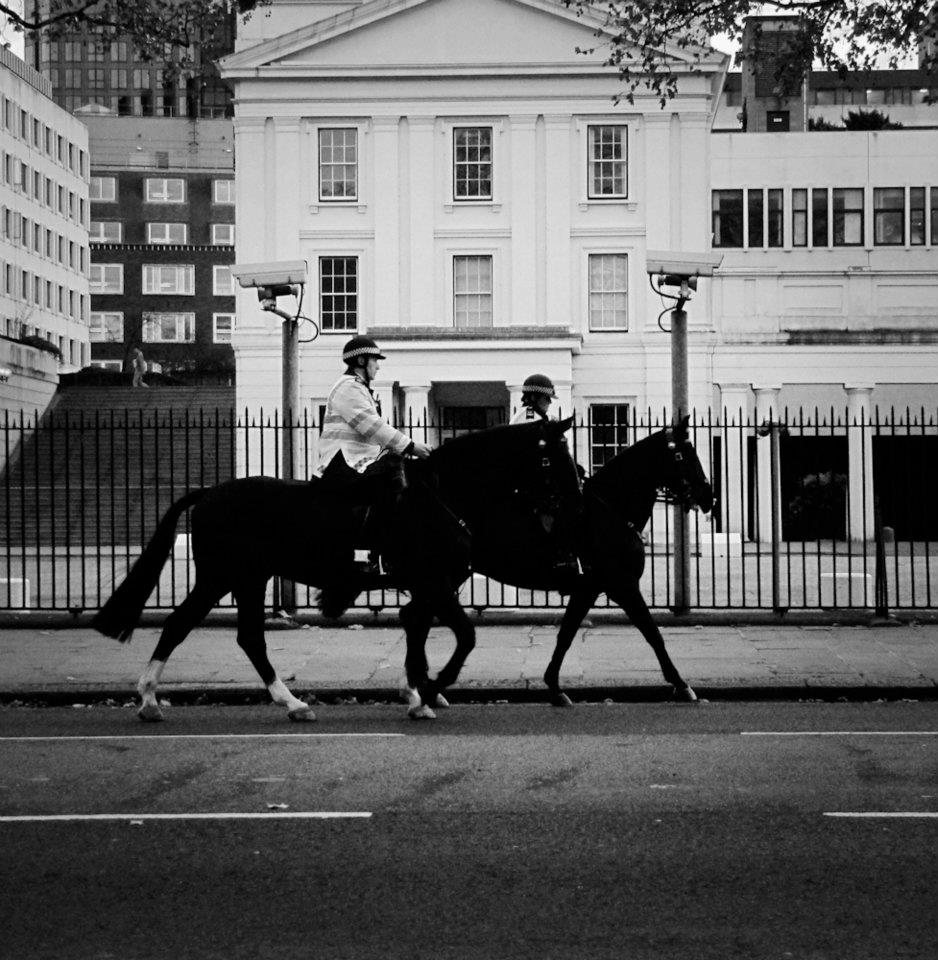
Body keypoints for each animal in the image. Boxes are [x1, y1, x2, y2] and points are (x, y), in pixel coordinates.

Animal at [93, 420, 576, 720]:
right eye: (553, 459)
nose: (574, 500)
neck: (441, 497)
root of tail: (209, 492)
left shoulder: (430, 586)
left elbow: (417, 627)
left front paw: (417, 690)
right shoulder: (434, 583)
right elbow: (463, 636)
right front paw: (430, 688)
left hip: (248, 578)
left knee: (245, 636)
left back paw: (288, 703)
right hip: (224, 576)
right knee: (183, 624)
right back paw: (151, 698)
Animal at [398, 416, 712, 716]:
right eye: (686, 454)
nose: (709, 496)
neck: (611, 510)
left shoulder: (588, 589)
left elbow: (566, 635)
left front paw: (554, 686)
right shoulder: (622, 586)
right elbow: (652, 633)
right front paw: (681, 684)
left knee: (415, 617)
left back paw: (422, 686)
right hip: (443, 575)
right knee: (416, 617)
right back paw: (424, 688)